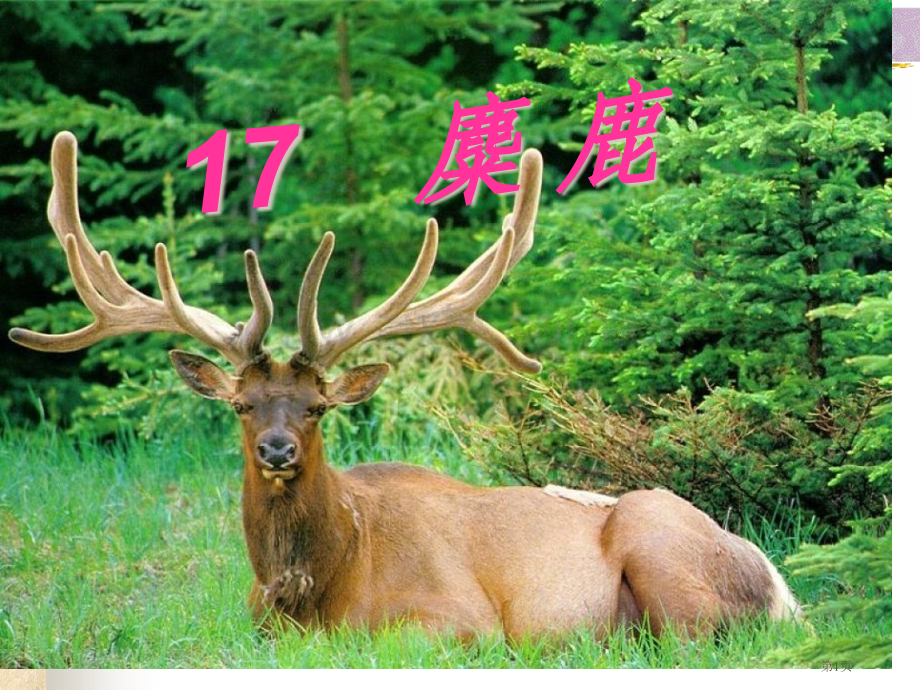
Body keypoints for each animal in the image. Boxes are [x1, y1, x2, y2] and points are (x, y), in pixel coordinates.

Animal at [10, 131, 800, 641]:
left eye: (317, 408)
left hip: (661, 547)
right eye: (241, 404)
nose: (275, 449)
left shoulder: (460, 621)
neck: (315, 593)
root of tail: (782, 588)